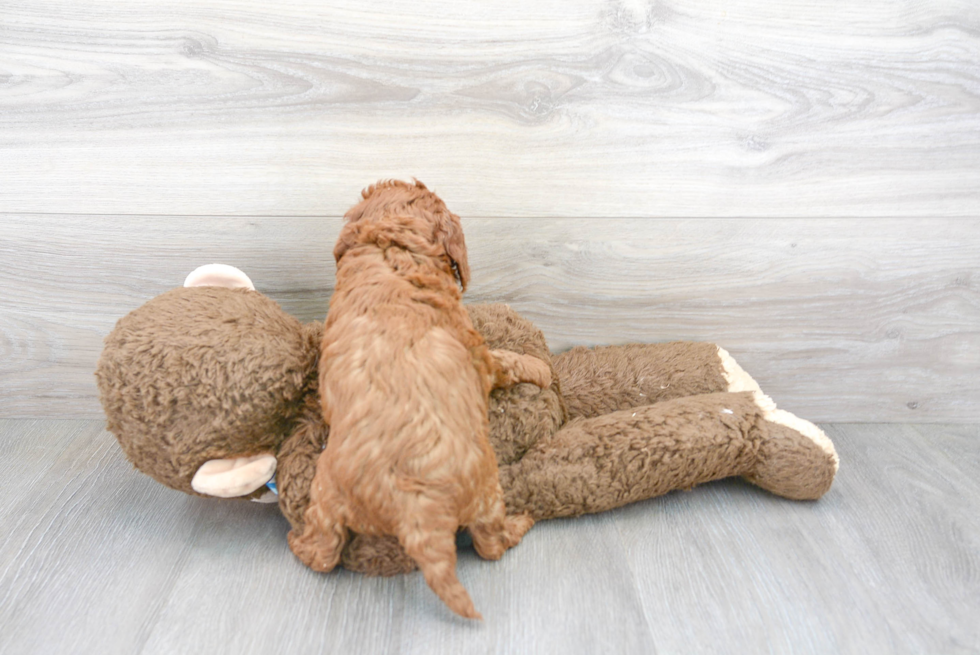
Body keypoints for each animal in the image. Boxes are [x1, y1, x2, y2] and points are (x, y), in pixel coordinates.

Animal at [290, 181, 552, 620]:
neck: (390, 250)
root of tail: (416, 508)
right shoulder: (478, 353)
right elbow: (508, 361)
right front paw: (543, 369)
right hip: (485, 489)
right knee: (490, 544)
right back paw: (523, 521)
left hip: (328, 493)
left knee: (325, 555)